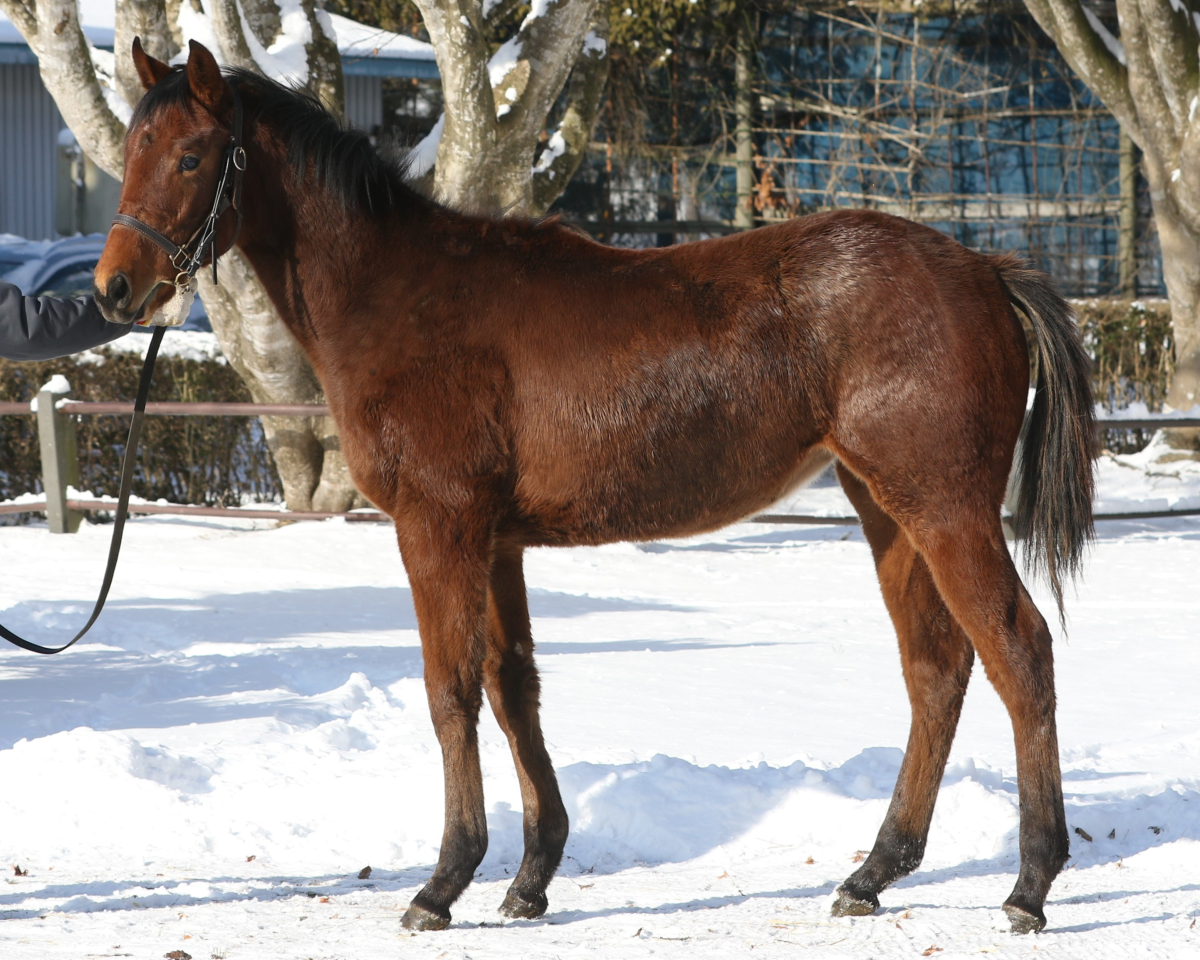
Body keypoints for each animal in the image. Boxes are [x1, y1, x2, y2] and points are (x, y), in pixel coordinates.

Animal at [94, 39, 1095, 935]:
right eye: (129, 152)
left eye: (191, 155)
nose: (115, 288)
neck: (405, 299)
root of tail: (984, 270)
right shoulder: (497, 541)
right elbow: (512, 687)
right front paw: (529, 878)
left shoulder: (438, 527)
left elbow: (449, 692)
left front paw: (442, 884)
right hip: (885, 511)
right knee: (937, 667)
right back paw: (873, 873)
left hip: (945, 508)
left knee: (1020, 652)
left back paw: (1029, 886)